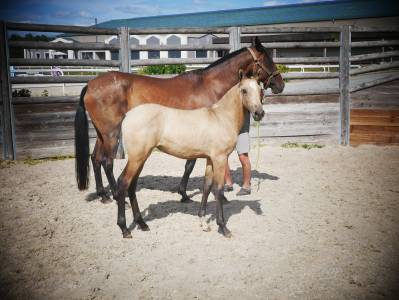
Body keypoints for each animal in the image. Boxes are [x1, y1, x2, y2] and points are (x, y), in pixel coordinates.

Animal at [75, 36, 286, 203]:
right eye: (267, 59)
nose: (280, 84)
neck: (208, 86)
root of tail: (91, 85)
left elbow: (190, 165)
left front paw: (184, 193)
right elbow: (190, 165)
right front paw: (186, 194)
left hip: (101, 133)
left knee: (95, 159)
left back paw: (103, 195)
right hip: (111, 132)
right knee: (107, 162)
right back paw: (119, 197)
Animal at [117, 75, 264, 239]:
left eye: (260, 89)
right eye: (244, 90)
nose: (259, 113)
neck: (220, 117)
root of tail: (128, 116)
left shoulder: (210, 159)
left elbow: (207, 186)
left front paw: (204, 223)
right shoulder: (219, 158)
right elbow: (219, 190)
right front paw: (223, 227)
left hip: (141, 158)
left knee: (132, 186)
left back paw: (142, 224)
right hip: (136, 158)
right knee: (123, 183)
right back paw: (125, 229)